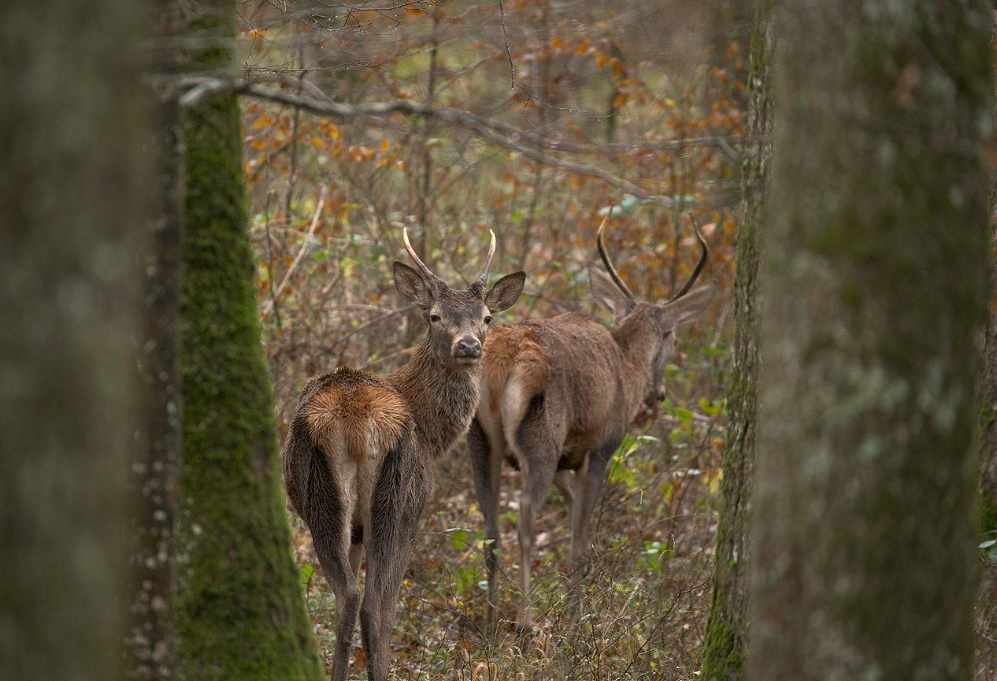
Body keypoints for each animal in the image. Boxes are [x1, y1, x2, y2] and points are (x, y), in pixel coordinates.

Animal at [280, 230, 524, 680]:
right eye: (434, 316)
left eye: (486, 317)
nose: (468, 345)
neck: (431, 432)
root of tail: (355, 421)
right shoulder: (415, 505)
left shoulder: (358, 529)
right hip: (392, 498)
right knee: (374, 604)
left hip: (333, 502)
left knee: (347, 595)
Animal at [468, 219, 716, 632]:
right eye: (672, 335)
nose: (660, 393)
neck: (628, 371)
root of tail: (505, 358)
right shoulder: (599, 449)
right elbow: (579, 543)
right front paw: (576, 619)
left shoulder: (568, 459)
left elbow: (572, 516)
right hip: (541, 437)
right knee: (524, 520)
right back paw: (526, 620)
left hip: (480, 439)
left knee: (490, 529)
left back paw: (488, 622)